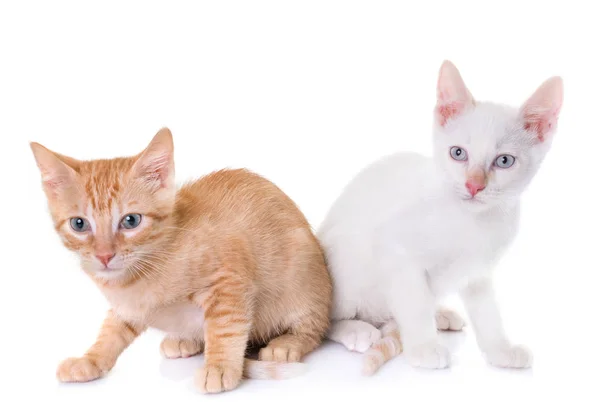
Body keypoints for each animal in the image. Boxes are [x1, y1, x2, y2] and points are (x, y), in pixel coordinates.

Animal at [30, 129, 332, 394]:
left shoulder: (229, 279)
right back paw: (185, 339)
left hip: (303, 279)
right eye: (79, 224)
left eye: (131, 220)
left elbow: (225, 326)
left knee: (315, 326)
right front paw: (90, 360)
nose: (104, 255)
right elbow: (111, 331)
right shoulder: (126, 308)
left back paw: (289, 342)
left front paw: (220, 367)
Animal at [318, 60, 564, 374]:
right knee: (325, 320)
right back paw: (356, 329)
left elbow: (488, 313)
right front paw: (424, 348)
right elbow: (415, 303)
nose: (474, 185)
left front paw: (501, 350)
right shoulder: (395, 250)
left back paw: (439, 315)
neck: (472, 221)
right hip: (344, 264)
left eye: (504, 161)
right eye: (458, 153)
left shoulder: (478, 272)